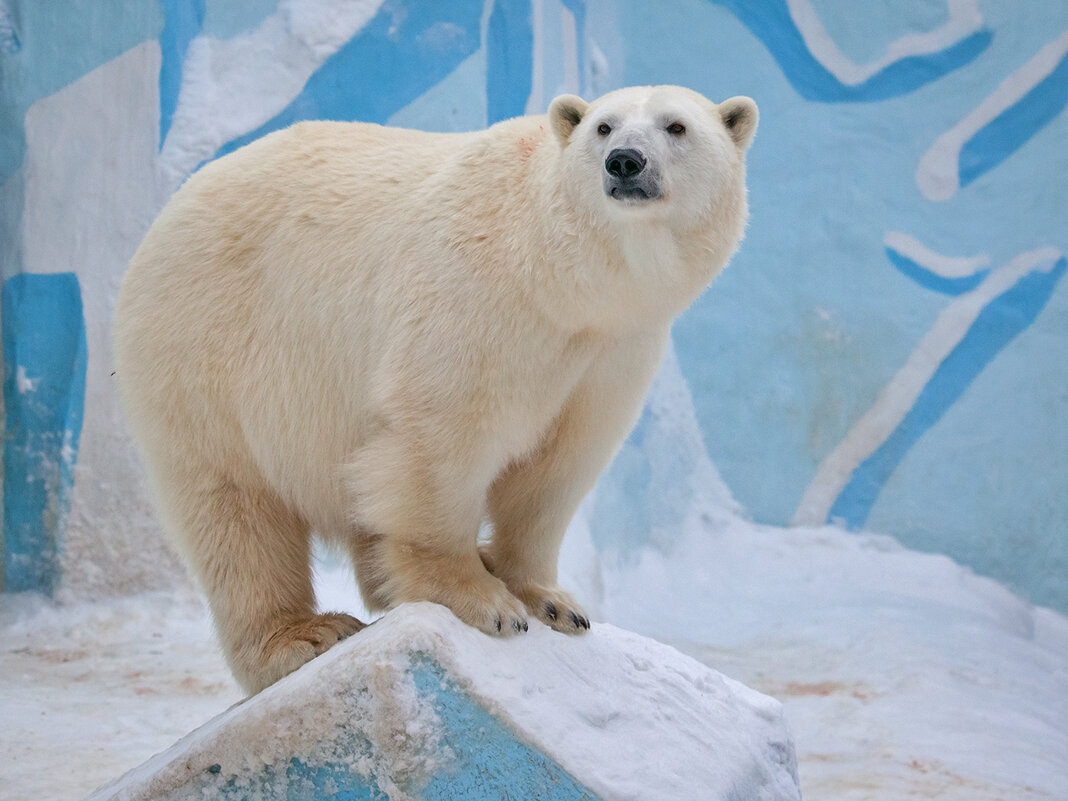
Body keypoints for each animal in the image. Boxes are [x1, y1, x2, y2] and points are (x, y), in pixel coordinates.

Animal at [114, 84, 751, 692]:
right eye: (604, 126)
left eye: (677, 126)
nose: (624, 162)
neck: (560, 278)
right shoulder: (476, 294)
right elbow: (445, 434)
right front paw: (484, 601)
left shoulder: (614, 347)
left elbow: (559, 465)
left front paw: (552, 601)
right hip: (208, 348)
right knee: (235, 506)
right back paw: (303, 635)